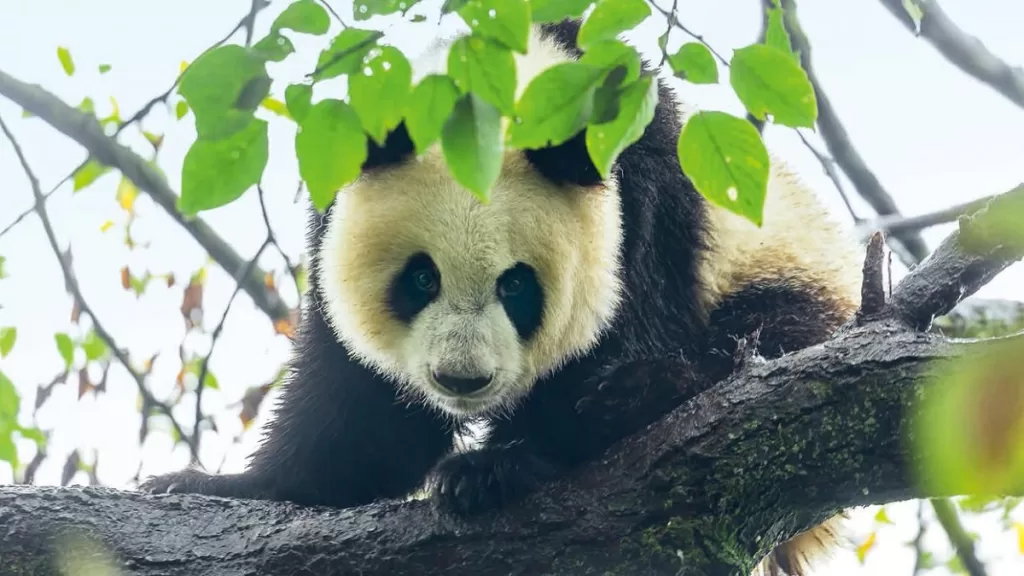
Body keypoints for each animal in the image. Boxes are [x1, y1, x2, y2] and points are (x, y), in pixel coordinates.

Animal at [142, 19, 864, 576]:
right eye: (421, 279)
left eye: (517, 285)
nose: (461, 379)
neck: (512, 83)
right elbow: (359, 411)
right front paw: (222, 485)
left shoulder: (645, 195)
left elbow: (631, 320)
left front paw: (499, 466)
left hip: (792, 275)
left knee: (761, 338)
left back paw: (647, 391)